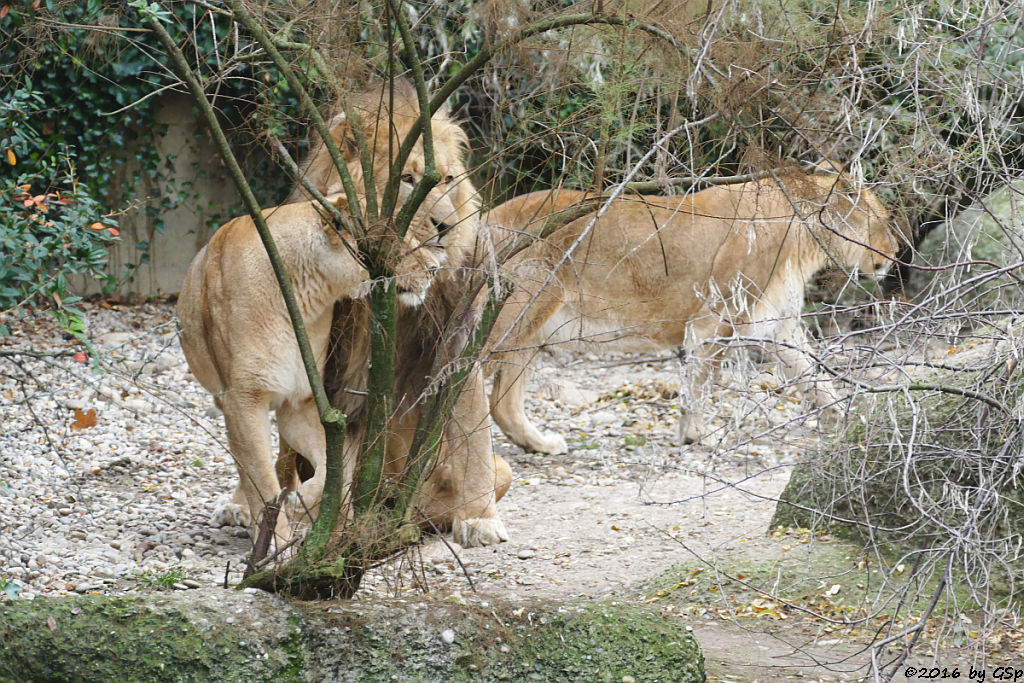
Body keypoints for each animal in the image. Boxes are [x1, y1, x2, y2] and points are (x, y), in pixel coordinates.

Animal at [276, 80, 512, 548]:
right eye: (407, 180)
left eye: (449, 181)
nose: (445, 226)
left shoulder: (459, 337)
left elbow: (474, 431)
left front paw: (479, 519)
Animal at [483, 167, 901, 450]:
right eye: (883, 219)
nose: (896, 254)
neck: (804, 233)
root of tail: (489, 219)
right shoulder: (715, 318)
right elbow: (699, 381)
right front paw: (697, 434)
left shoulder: (779, 323)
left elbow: (812, 374)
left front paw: (845, 417)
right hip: (520, 310)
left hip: (531, 330)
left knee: (502, 402)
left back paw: (539, 444)